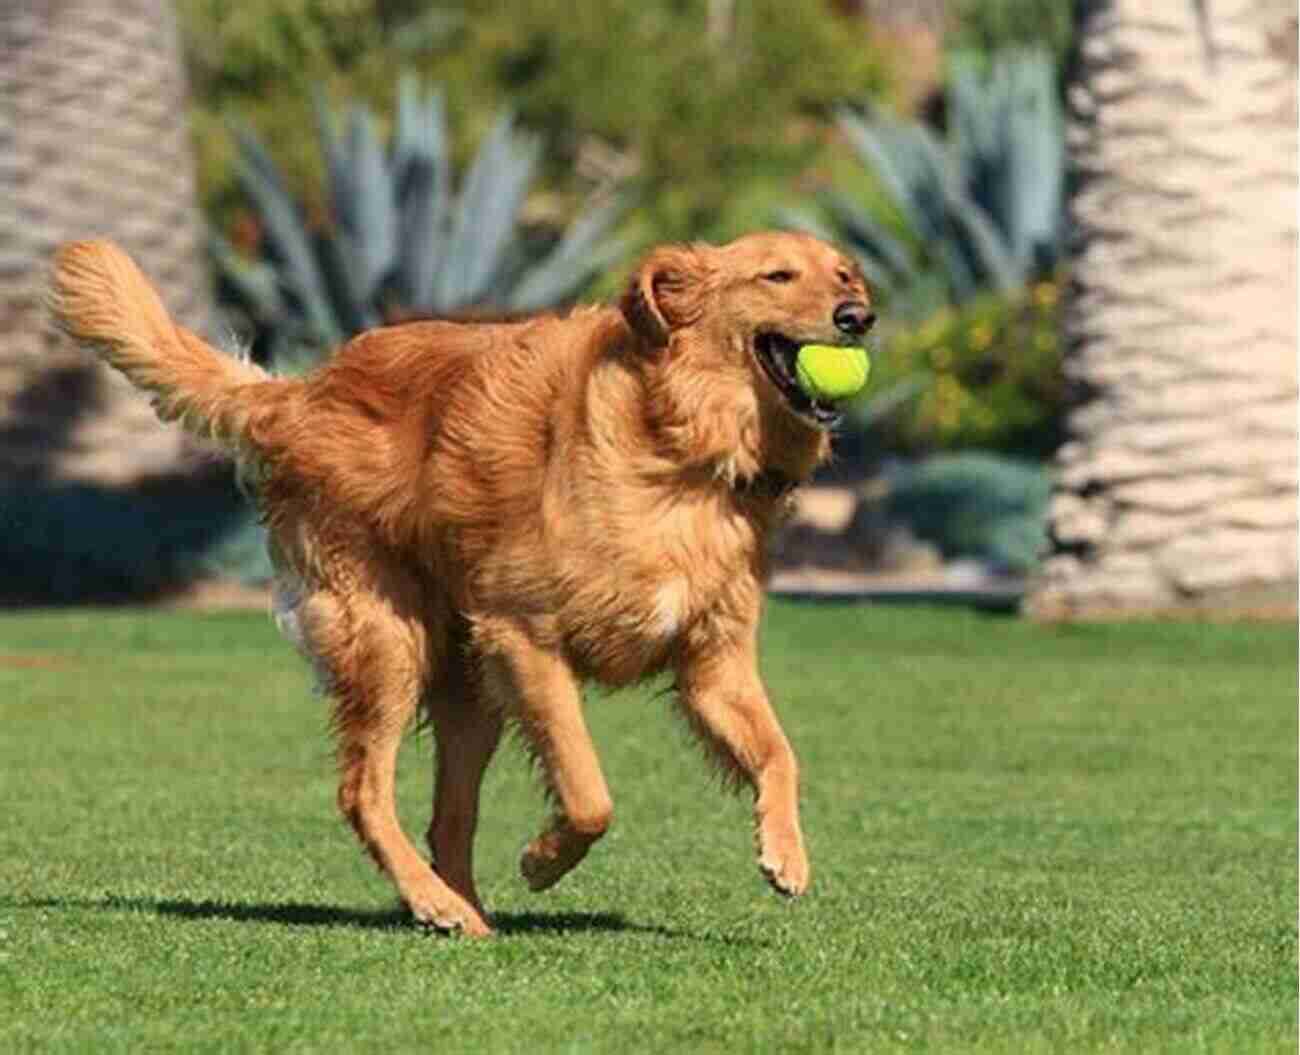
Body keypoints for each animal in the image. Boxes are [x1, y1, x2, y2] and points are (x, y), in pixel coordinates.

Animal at [55, 231, 878, 930]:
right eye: (777, 276)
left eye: (843, 273)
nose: (859, 316)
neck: (681, 448)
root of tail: (302, 392)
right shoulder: (526, 639)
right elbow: (589, 793)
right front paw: (544, 860)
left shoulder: (711, 661)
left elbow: (780, 753)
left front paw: (785, 852)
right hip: (389, 642)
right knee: (363, 791)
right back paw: (436, 903)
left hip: (469, 690)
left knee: (446, 817)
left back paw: (466, 909)